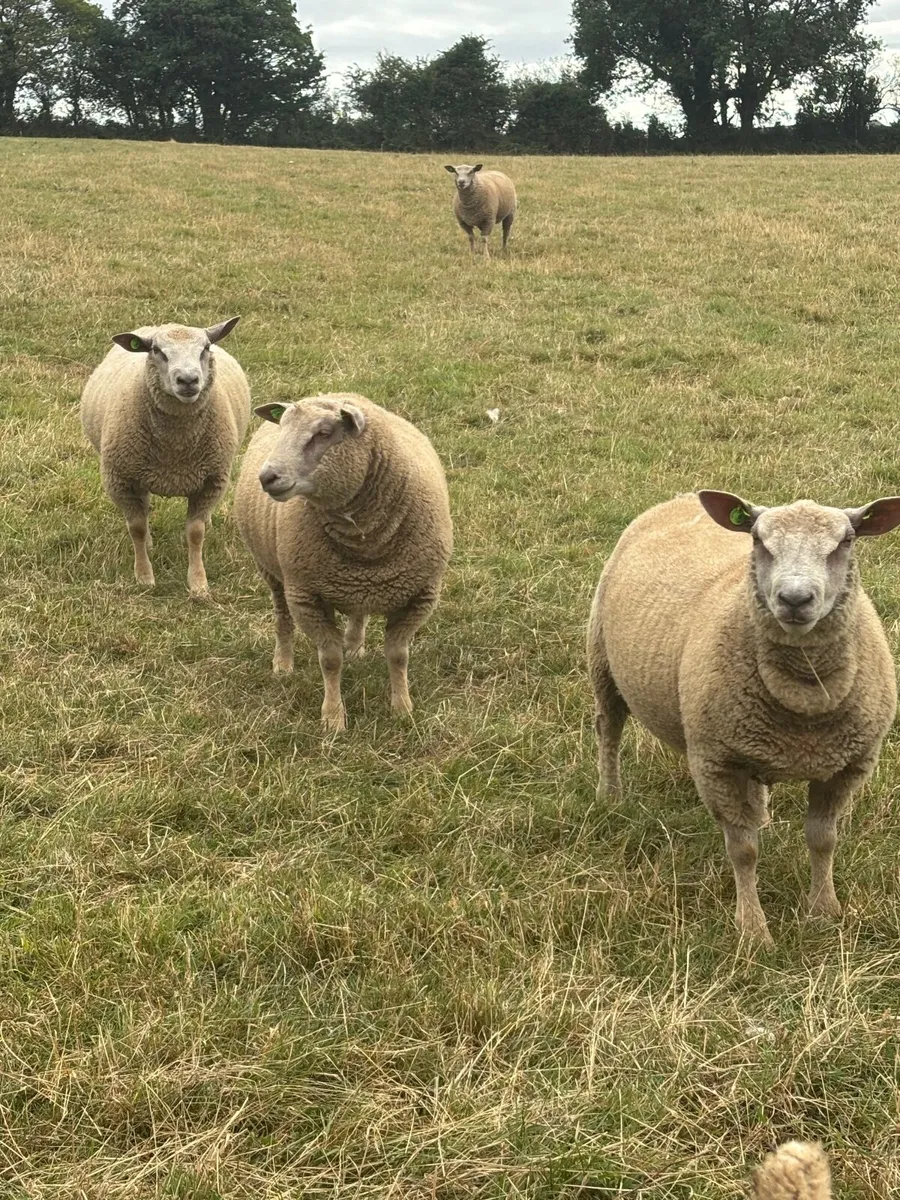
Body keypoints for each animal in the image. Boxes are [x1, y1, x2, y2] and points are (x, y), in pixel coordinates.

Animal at [80, 318, 251, 596]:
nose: (188, 380)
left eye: (205, 348)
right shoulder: (121, 478)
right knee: (143, 507)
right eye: (157, 351)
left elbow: (195, 532)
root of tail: (162, 323)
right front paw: (144, 576)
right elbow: (137, 528)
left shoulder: (211, 480)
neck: (175, 449)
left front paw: (198, 583)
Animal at [233, 393, 452, 732]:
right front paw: (333, 718)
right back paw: (283, 664)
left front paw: (403, 709)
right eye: (283, 427)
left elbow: (398, 655)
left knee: (358, 611)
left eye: (324, 433)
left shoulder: (421, 595)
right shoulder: (306, 597)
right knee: (282, 616)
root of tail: (332, 393)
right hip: (272, 571)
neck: (367, 547)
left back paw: (354, 644)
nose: (267, 476)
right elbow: (330, 660)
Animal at [587, 489, 900, 945]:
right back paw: (609, 794)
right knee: (608, 727)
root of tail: (684, 496)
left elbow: (823, 839)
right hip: (602, 659)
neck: (803, 704)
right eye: (757, 540)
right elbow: (743, 850)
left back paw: (762, 812)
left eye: (846, 541)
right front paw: (753, 930)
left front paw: (824, 911)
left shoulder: (848, 765)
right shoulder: (715, 763)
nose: (794, 599)